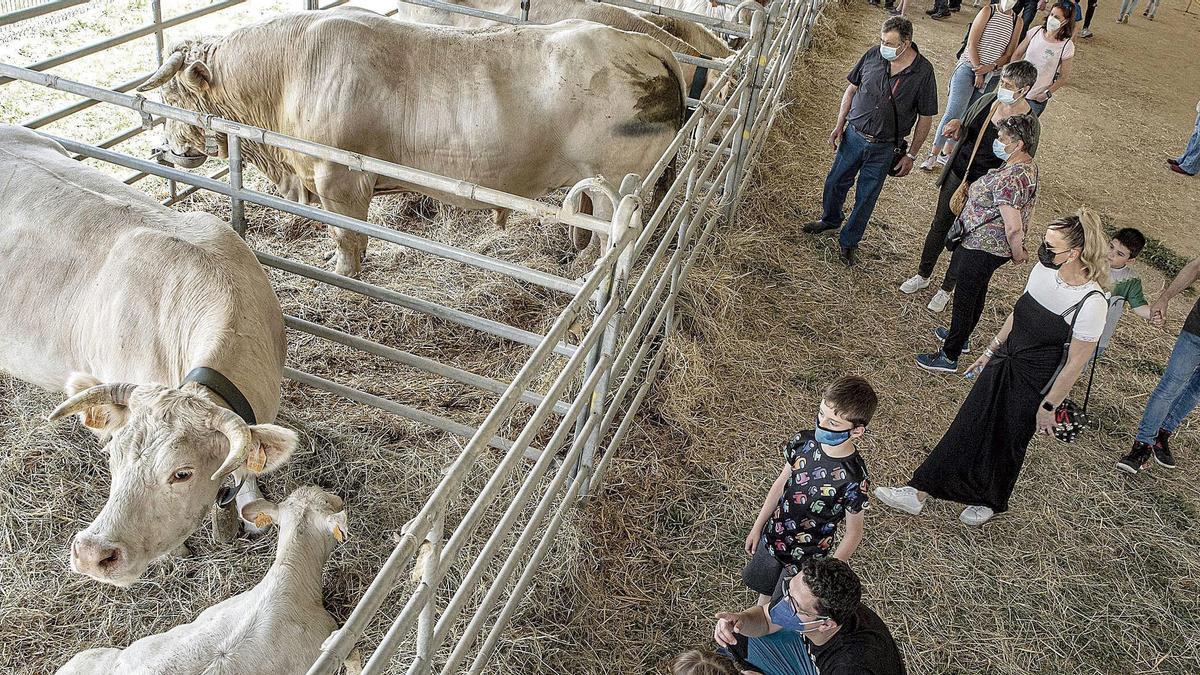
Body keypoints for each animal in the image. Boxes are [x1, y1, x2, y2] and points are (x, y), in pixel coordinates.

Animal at [139, 7, 686, 276]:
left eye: (173, 93)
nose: (166, 151)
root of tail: (648, 45)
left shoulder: (339, 181)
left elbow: (347, 238)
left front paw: (344, 280)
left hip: (617, 184)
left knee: (607, 236)